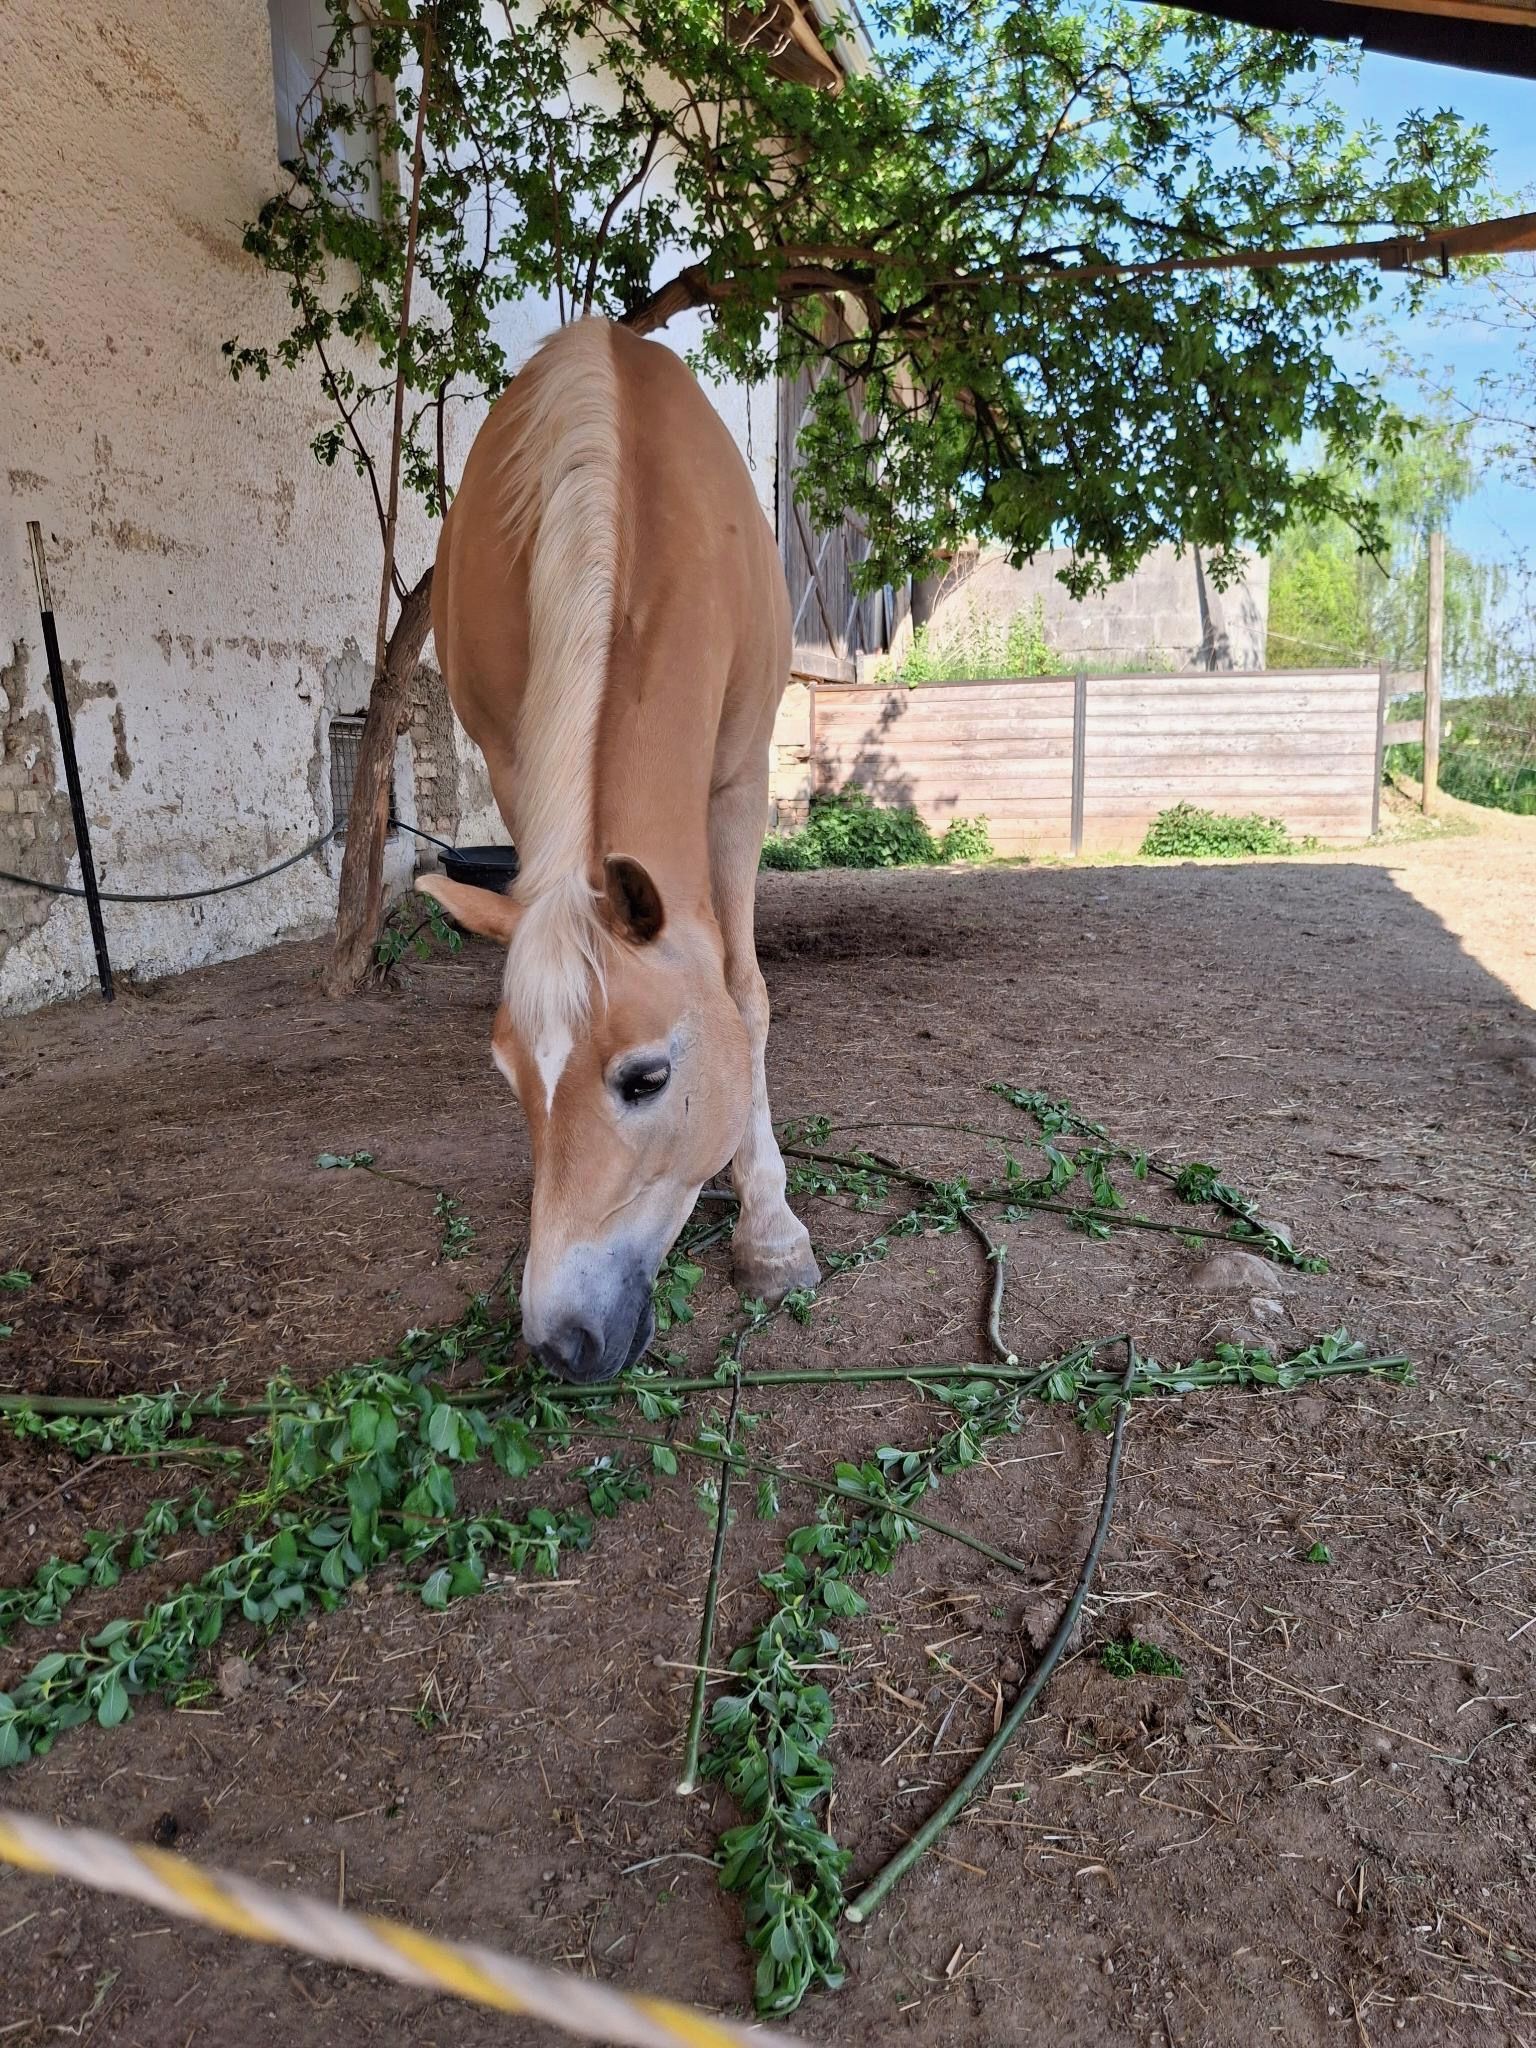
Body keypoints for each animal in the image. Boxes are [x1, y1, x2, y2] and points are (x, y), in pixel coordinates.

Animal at [418, 318, 821, 1383]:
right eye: (508, 1077)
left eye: (646, 1079)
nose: (561, 1342)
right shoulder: (515, 762)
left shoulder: (739, 777)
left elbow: (744, 993)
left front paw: (771, 1231)